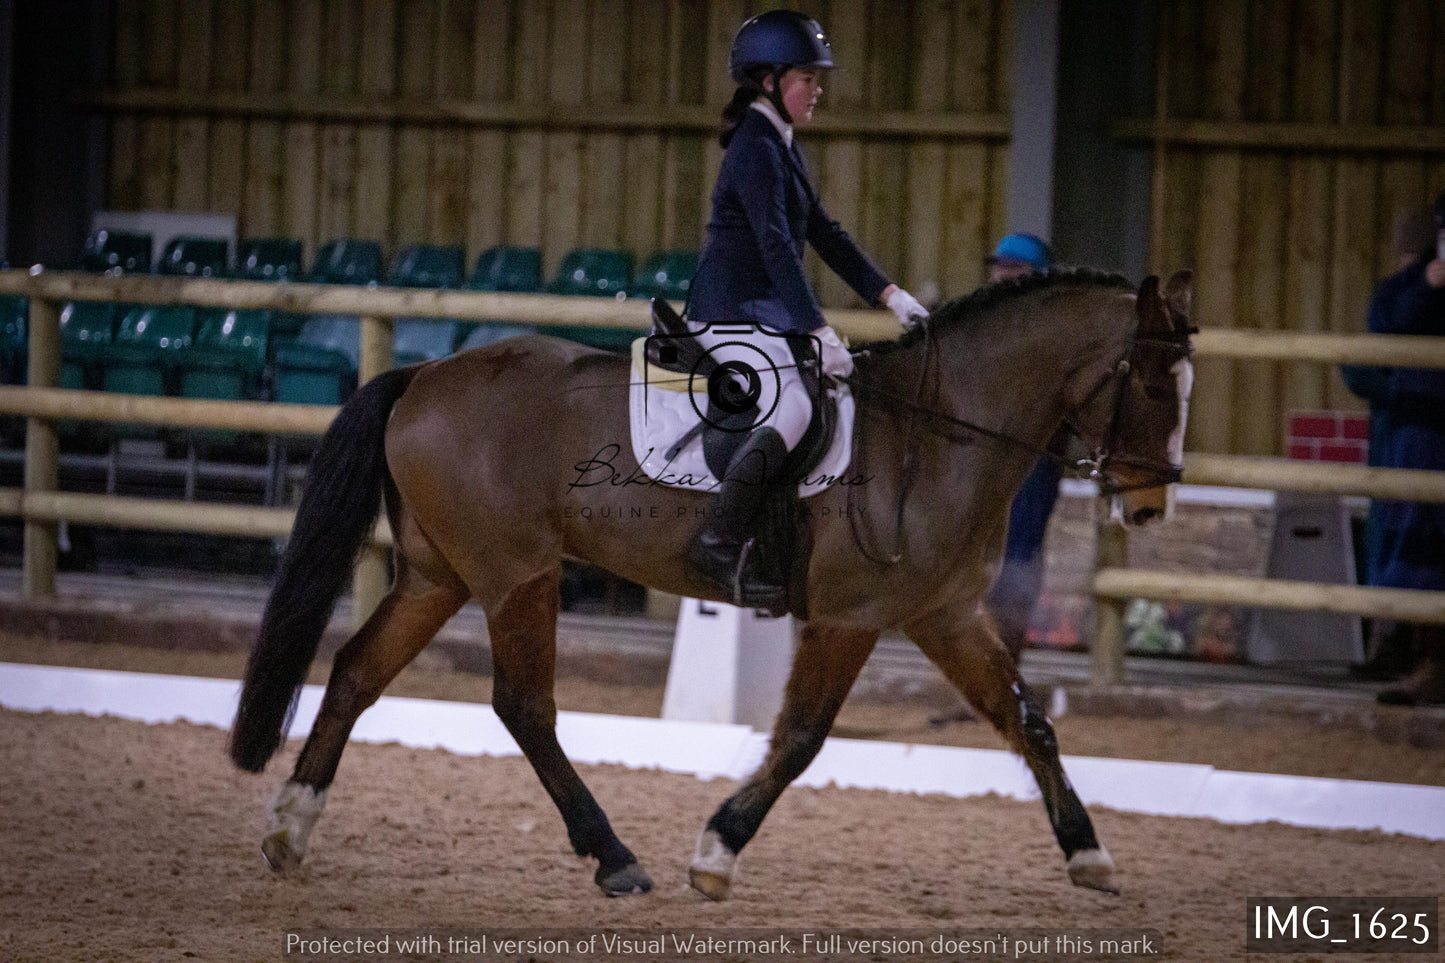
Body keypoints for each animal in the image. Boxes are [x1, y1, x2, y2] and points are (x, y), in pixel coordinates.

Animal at [228, 264, 1196, 902]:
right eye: (1153, 382)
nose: (1149, 505)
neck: (939, 433)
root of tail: (424, 374)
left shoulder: (947, 615)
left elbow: (1028, 721)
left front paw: (1088, 854)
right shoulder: (849, 617)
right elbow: (800, 737)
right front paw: (716, 851)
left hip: (438, 575)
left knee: (356, 670)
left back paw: (287, 827)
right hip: (514, 574)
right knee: (524, 706)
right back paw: (614, 855)